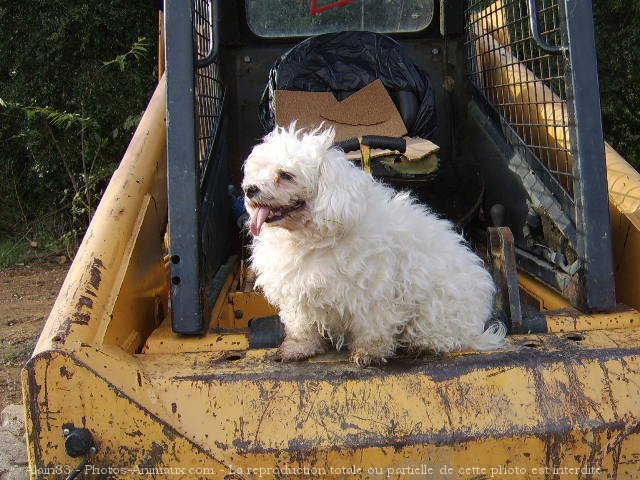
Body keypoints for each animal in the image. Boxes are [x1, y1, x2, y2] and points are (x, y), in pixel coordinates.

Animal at [242, 125, 508, 366]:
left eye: (286, 175)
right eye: (257, 172)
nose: (249, 189)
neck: (312, 238)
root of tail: (476, 327)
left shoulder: (373, 293)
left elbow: (373, 327)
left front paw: (369, 352)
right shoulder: (298, 294)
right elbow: (301, 327)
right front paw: (298, 348)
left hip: (437, 309)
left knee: (446, 336)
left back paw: (423, 344)